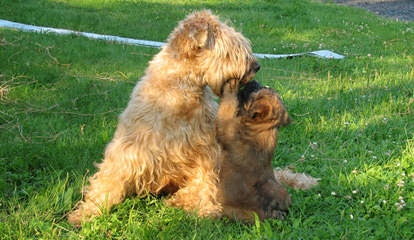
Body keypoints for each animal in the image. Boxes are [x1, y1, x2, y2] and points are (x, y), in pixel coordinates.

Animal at [69, 9, 260, 225]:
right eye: (230, 50)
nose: (256, 66)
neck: (181, 90)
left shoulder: (206, 150)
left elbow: (204, 181)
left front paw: (205, 210)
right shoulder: (129, 148)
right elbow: (109, 179)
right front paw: (87, 211)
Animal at [217, 79, 292, 222]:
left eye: (254, 91)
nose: (254, 81)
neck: (263, 129)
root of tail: (268, 212)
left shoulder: (225, 126)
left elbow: (228, 105)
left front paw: (231, 87)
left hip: (232, 211)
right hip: (281, 190)